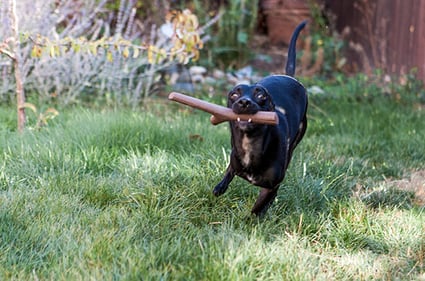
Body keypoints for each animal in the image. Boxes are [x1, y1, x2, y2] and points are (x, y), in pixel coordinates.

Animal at [214, 21, 306, 214]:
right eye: (234, 94)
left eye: (261, 95)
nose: (244, 102)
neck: (250, 144)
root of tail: (289, 77)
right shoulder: (235, 159)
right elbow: (230, 169)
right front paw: (220, 187)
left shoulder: (271, 185)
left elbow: (259, 207)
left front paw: (253, 217)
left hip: (294, 144)